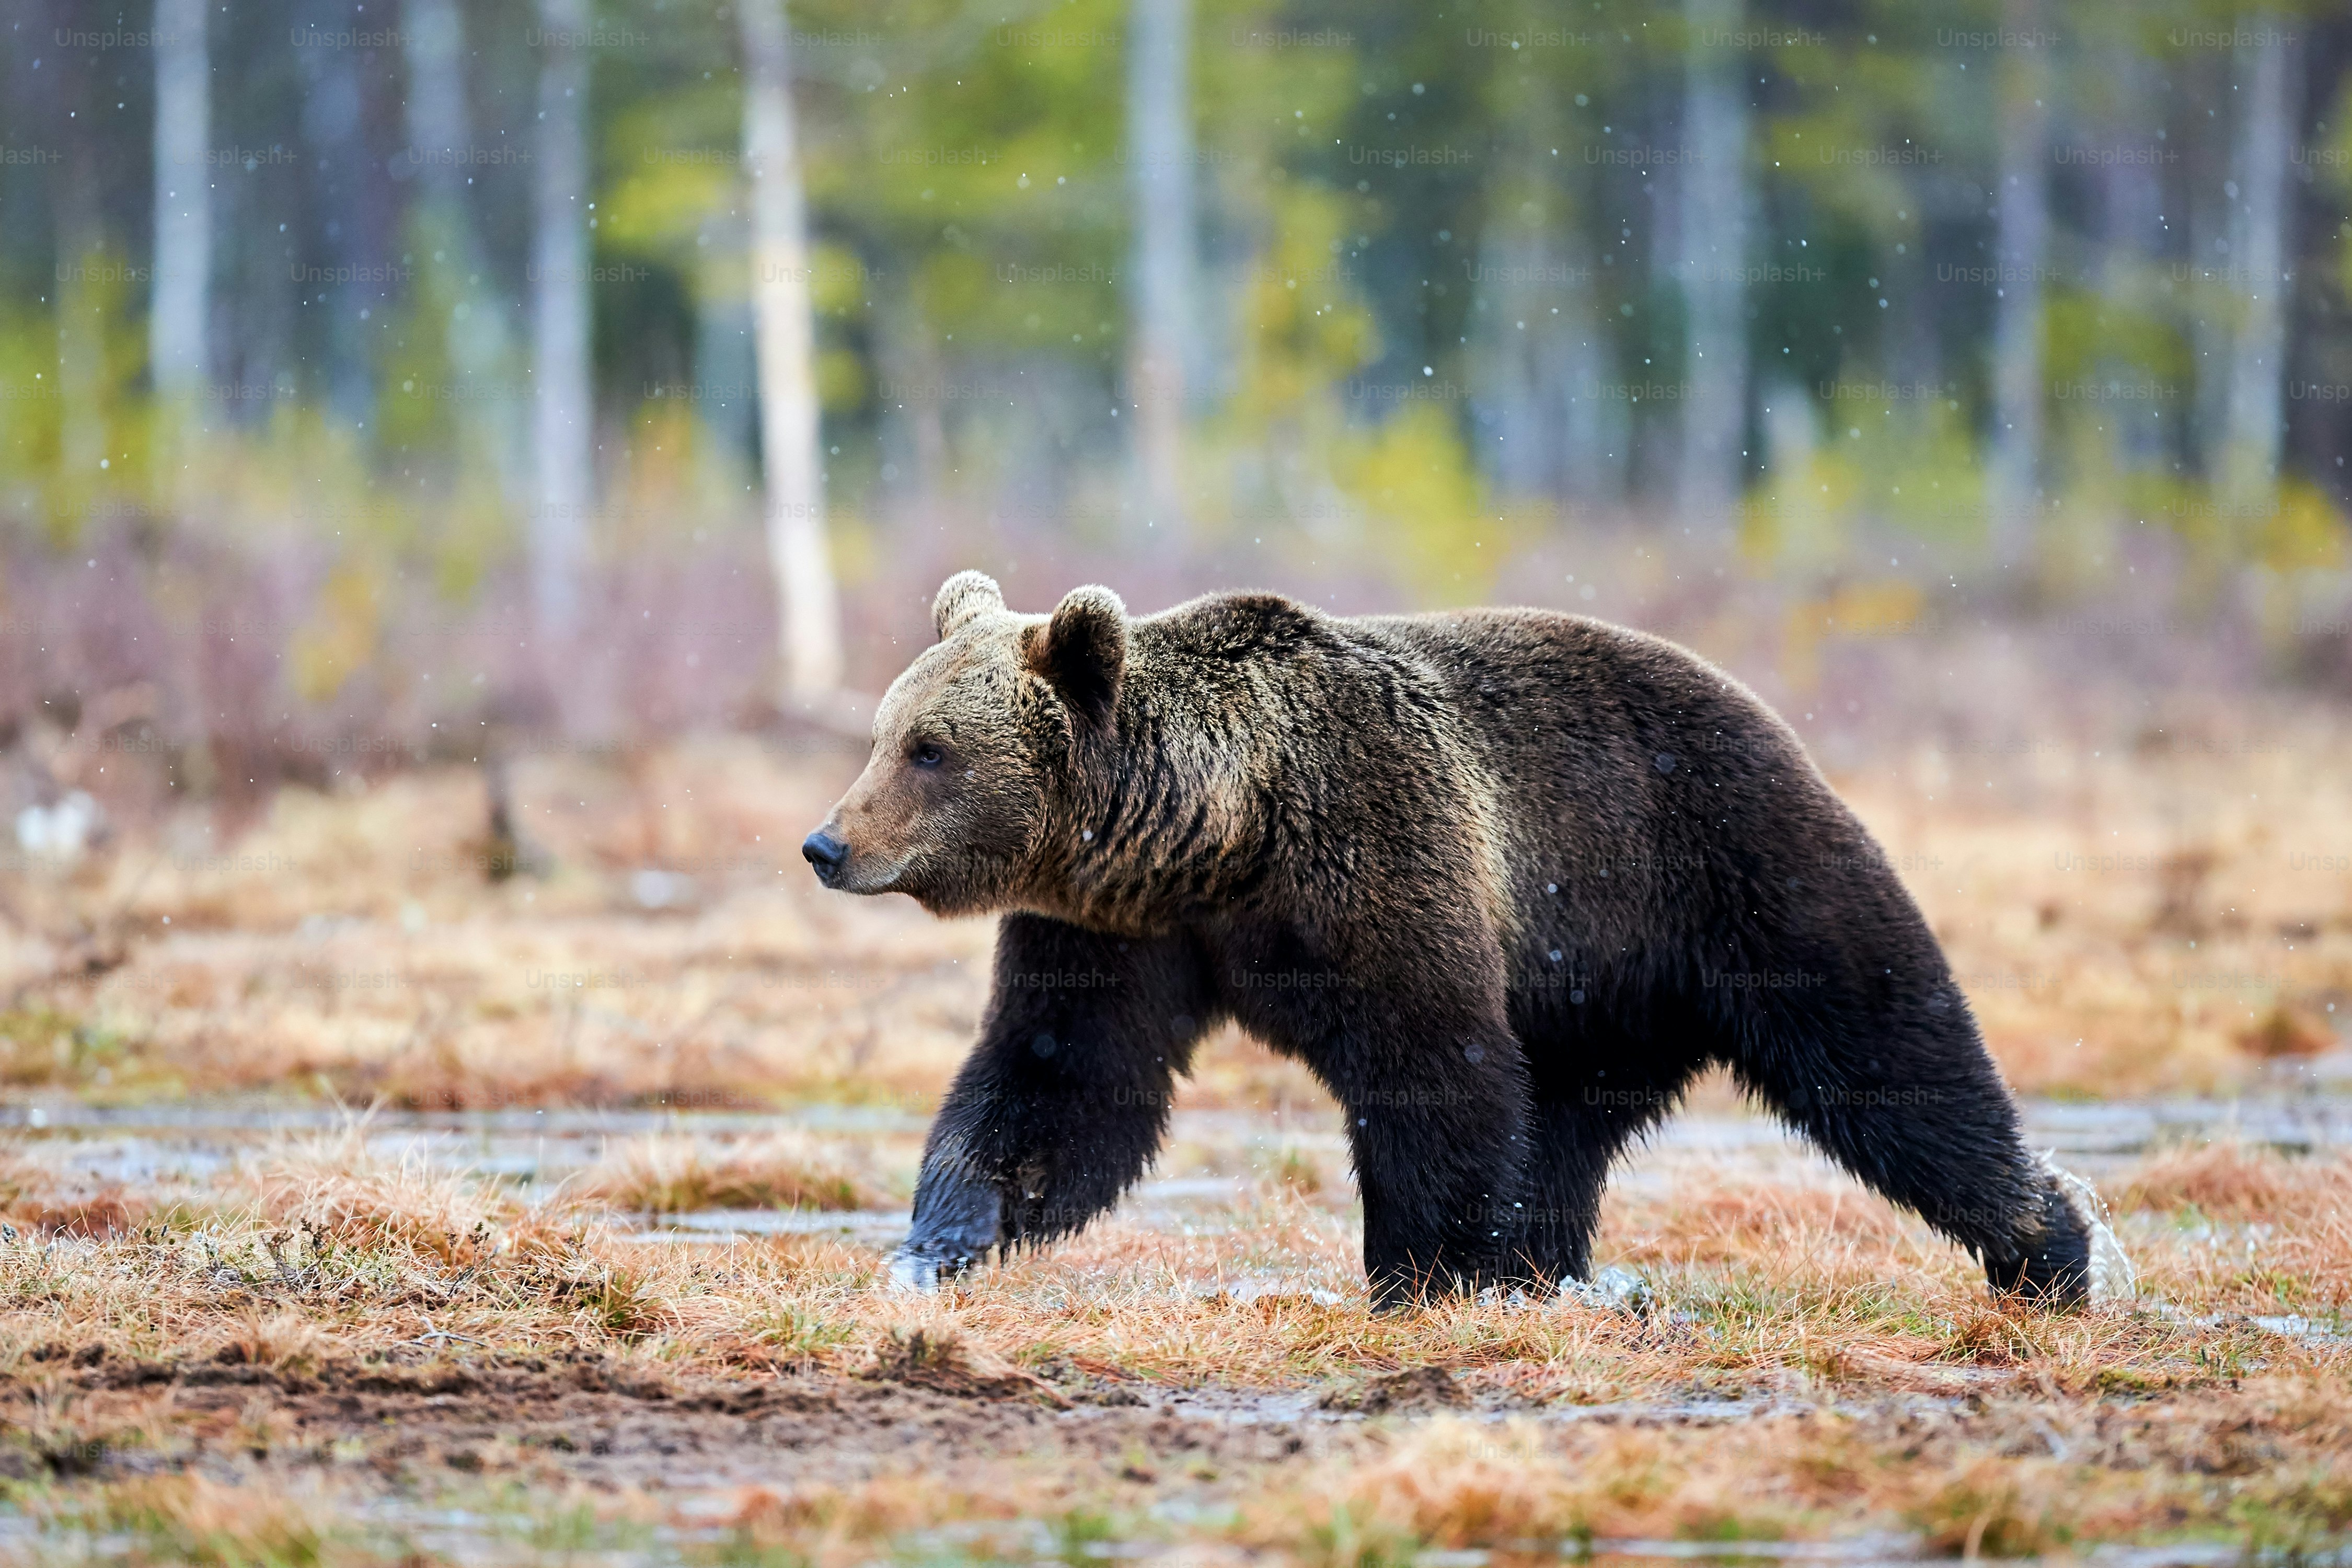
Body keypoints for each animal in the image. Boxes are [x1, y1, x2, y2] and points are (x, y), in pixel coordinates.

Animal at [802, 571, 2111, 1310]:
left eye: (928, 748)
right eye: (883, 734)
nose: (827, 842)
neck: (1216, 837)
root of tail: (1771, 712)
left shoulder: (1377, 853)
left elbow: (1433, 1065)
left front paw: (1427, 1274)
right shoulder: (1117, 934)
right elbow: (1061, 1083)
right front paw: (944, 1239)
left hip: (1723, 868)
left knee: (1886, 1050)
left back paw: (2048, 1245)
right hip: (1597, 992)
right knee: (1572, 1124)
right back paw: (1553, 1267)